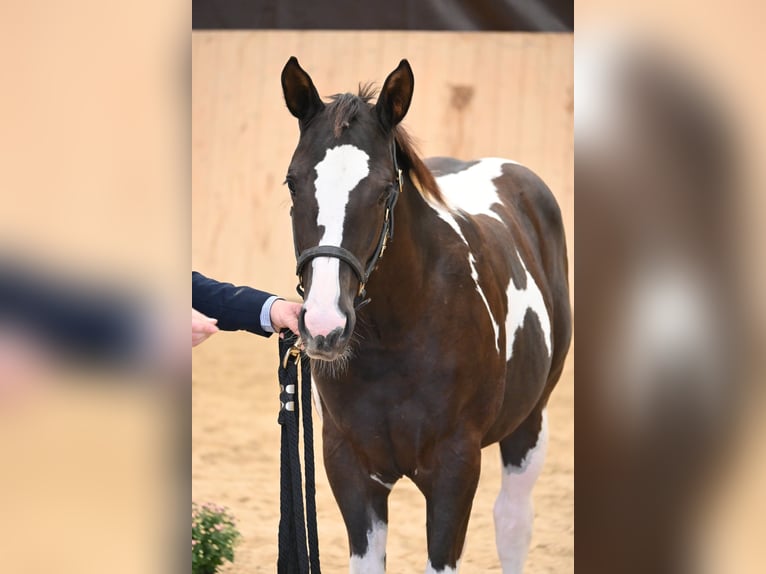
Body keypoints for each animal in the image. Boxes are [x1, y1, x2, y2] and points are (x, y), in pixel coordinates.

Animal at [280, 56, 571, 574]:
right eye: (293, 184)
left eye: (383, 191)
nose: (323, 327)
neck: (397, 339)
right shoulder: (350, 468)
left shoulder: (454, 470)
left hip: (529, 424)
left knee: (512, 521)